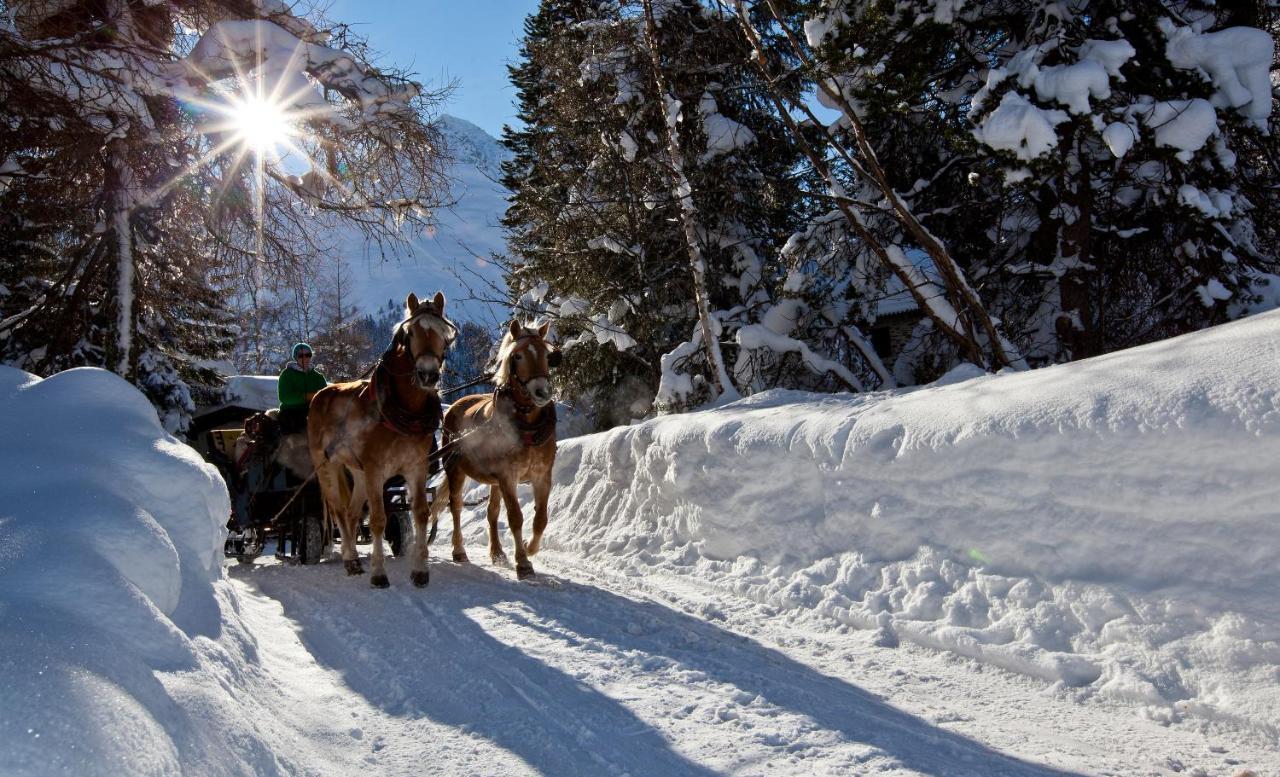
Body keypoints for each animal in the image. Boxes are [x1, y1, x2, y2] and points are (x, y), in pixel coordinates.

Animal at [307, 291, 453, 588]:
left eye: (444, 333)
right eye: (410, 333)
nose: (428, 374)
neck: (401, 410)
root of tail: (321, 394)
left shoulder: (416, 467)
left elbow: (420, 513)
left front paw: (420, 571)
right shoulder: (376, 469)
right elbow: (377, 519)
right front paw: (378, 574)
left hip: (359, 472)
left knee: (352, 513)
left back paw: (353, 559)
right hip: (328, 466)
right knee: (339, 511)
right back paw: (351, 559)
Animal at [432, 318, 558, 581]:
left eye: (546, 354)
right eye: (517, 355)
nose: (542, 392)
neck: (526, 426)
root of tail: (456, 405)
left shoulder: (542, 475)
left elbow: (540, 518)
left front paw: (530, 548)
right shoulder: (508, 476)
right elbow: (516, 517)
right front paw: (523, 563)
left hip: (494, 481)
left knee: (492, 512)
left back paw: (498, 553)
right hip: (455, 469)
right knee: (456, 507)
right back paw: (459, 551)